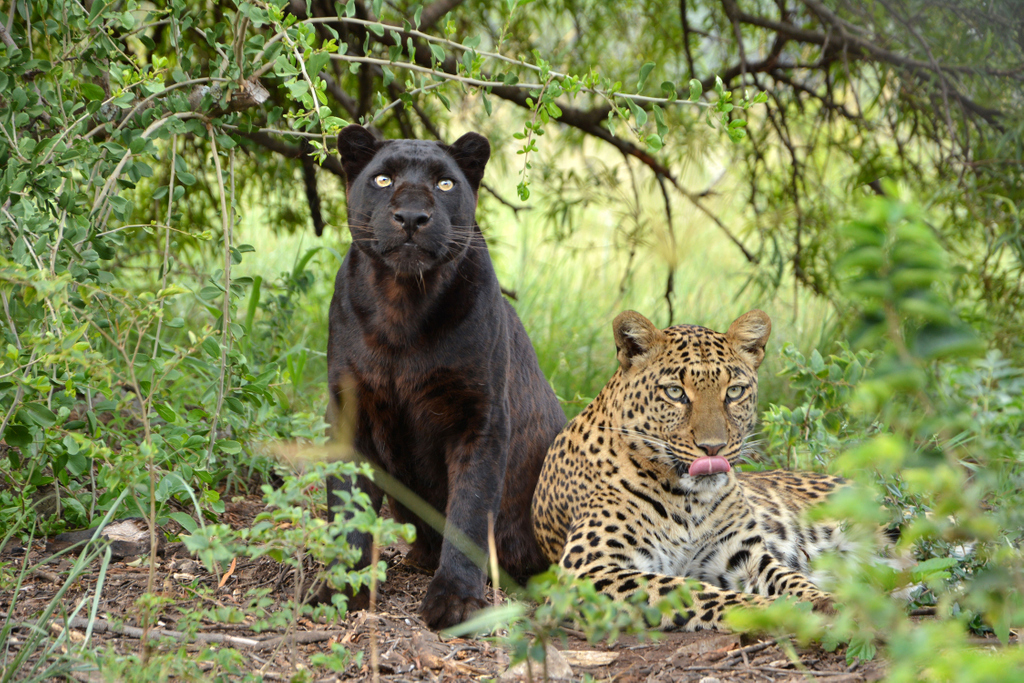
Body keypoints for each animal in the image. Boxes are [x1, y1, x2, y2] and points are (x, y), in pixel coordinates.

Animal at [532, 309, 849, 631]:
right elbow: (690, 591)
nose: (713, 448)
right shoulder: (587, 571)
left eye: (734, 391)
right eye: (675, 392)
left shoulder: (744, 555)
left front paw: (824, 602)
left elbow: (790, 579)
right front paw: (771, 611)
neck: (687, 502)